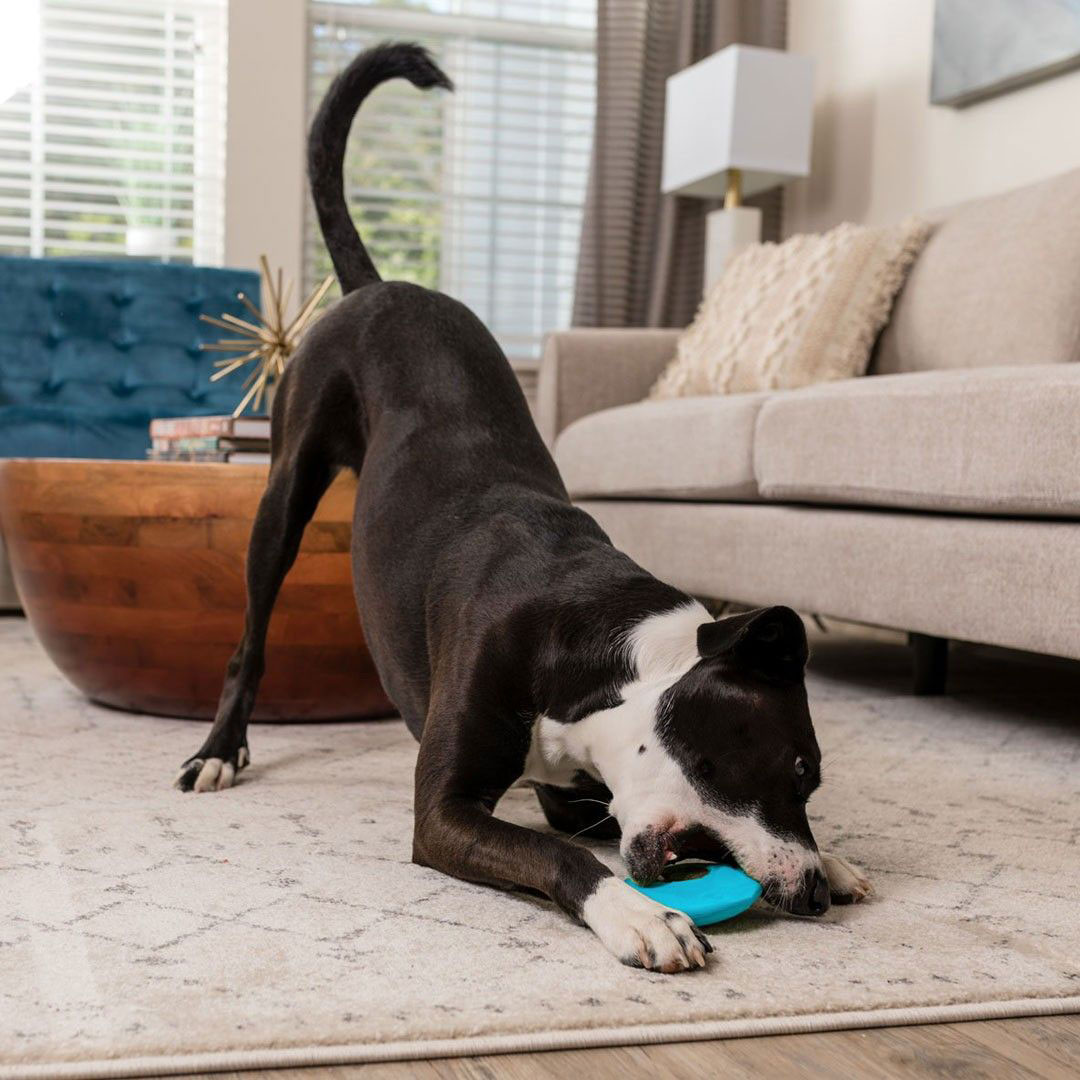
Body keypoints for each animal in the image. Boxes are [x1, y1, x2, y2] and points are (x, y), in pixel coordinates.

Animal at [176, 42, 871, 973]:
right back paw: (219, 752)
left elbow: (580, 832)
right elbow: (558, 856)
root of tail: (383, 284)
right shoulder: (445, 812)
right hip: (283, 491)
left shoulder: (578, 799)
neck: (608, 666)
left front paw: (838, 856)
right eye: (795, 768)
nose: (812, 895)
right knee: (249, 637)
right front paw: (640, 916)